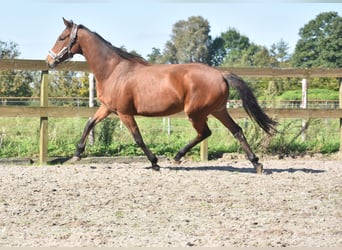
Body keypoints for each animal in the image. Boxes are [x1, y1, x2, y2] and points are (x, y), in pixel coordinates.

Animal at [46, 17, 276, 174]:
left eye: (61, 37)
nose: (49, 61)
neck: (113, 71)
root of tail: (221, 74)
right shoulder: (108, 108)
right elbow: (89, 123)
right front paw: (76, 154)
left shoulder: (124, 113)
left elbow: (138, 138)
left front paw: (155, 162)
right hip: (218, 110)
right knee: (236, 131)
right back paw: (256, 163)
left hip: (196, 113)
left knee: (205, 132)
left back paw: (177, 157)